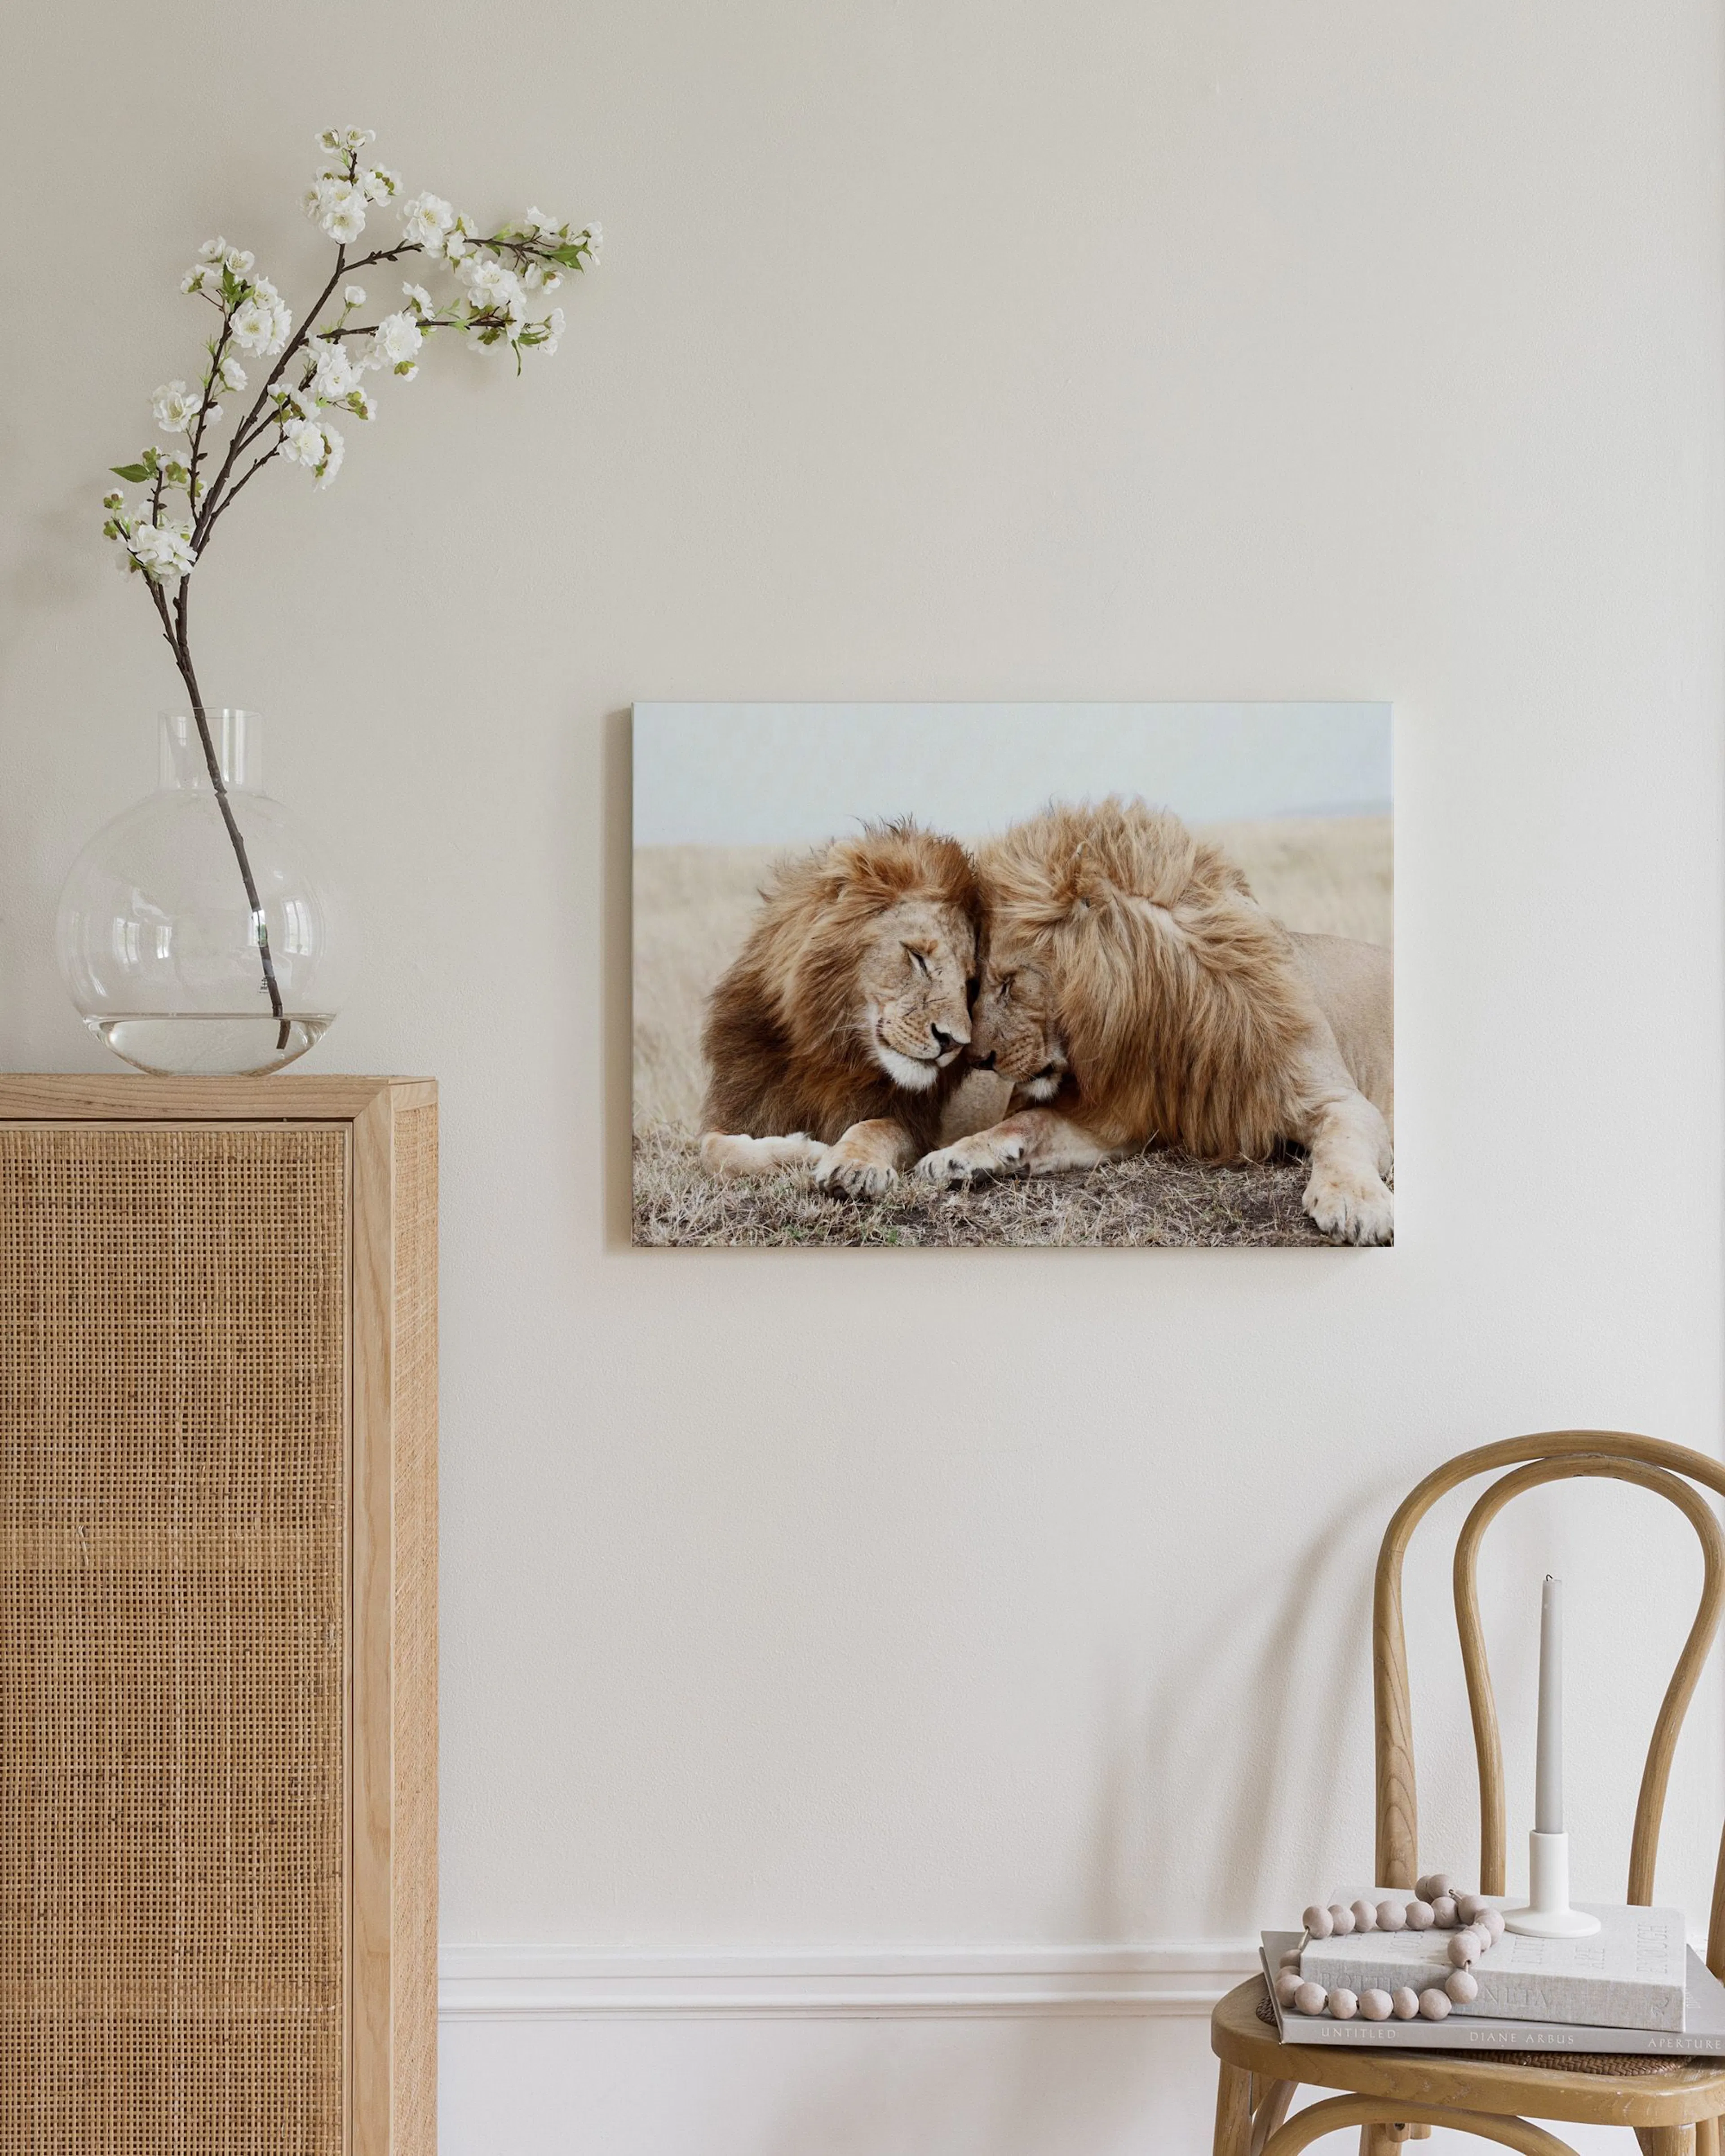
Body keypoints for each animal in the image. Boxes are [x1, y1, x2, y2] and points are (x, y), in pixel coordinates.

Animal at [698, 820, 981, 1196]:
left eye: (970, 982)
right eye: (918, 957)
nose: (954, 1042)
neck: (831, 1052)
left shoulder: (914, 1124)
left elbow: (874, 1128)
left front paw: (853, 1166)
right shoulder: (739, 1107)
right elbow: (714, 1152)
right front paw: (807, 1149)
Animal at [914, 799, 1395, 1244]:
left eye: (1010, 983)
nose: (978, 1059)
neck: (1166, 1014)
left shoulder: (1337, 1098)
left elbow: (1343, 1141)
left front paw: (1355, 1203)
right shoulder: (1119, 1118)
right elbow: (1030, 1121)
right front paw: (955, 1156)